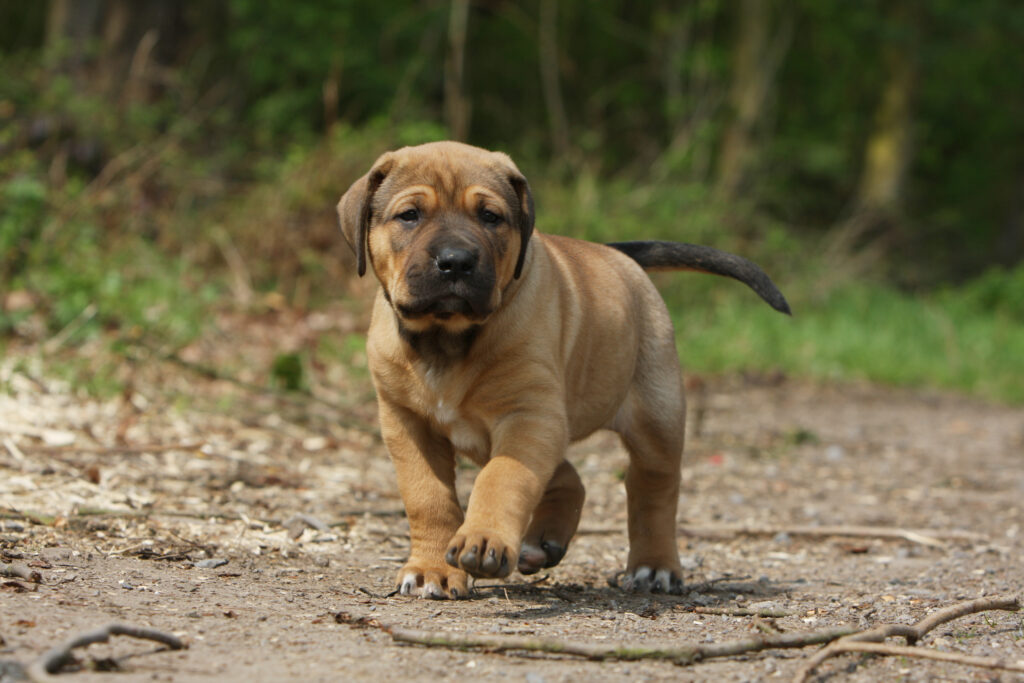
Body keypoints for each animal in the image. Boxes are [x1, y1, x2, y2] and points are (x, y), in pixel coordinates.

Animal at [339, 143, 786, 598]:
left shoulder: (528, 415)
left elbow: (502, 479)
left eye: (490, 217)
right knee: (569, 475)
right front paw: (432, 569)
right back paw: (542, 542)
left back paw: (655, 566)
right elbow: (427, 496)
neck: (447, 339)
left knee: (653, 490)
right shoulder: (407, 423)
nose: (456, 261)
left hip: (655, 417)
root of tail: (620, 256)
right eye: (409, 215)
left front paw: (483, 540)